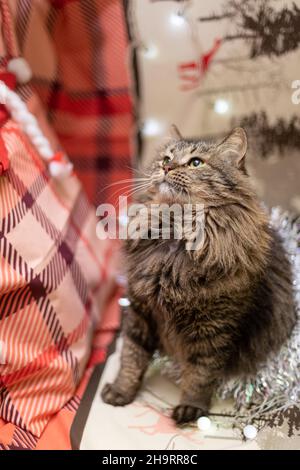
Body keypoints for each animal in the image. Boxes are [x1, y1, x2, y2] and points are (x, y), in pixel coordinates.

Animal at [101, 126, 296, 424]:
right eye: (166, 157)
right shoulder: (140, 312)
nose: (167, 167)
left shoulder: (213, 327)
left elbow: (200, 374)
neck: (174, 244)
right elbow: (131, 358)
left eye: (195, 163)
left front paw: (190, 408)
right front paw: (121, 392)